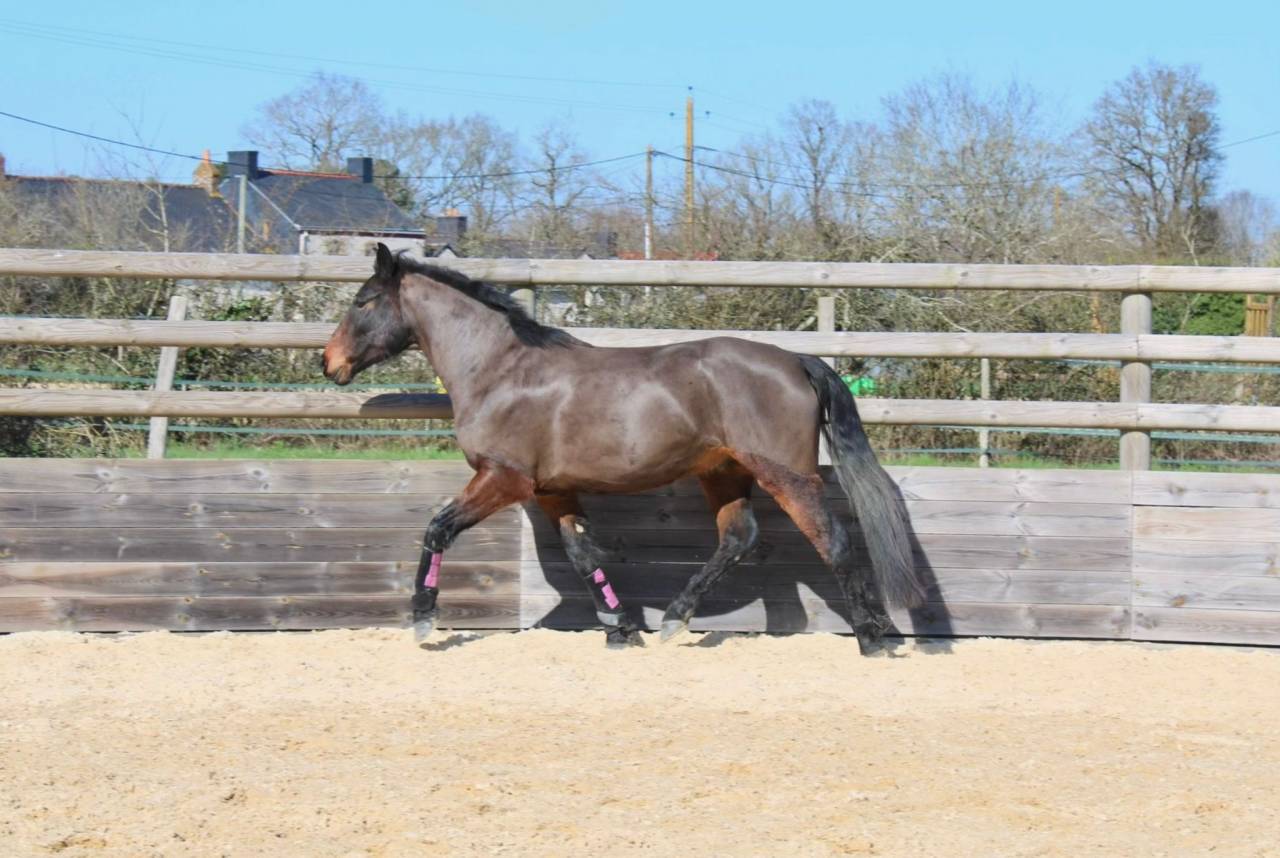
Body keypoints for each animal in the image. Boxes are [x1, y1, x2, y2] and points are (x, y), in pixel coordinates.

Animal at [322, 244, 925, 653]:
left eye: (363, 300)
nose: (329, 364)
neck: (499, 370)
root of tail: (796, 359)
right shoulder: (552, 491)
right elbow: (584, 556)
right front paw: (621, 629)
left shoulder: (504, 478)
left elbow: (437, 529)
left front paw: (423, 619)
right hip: (723, 472)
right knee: (738, 537)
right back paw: (674, 619)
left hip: (785, 474)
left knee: (833, 539)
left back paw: (872, 637)